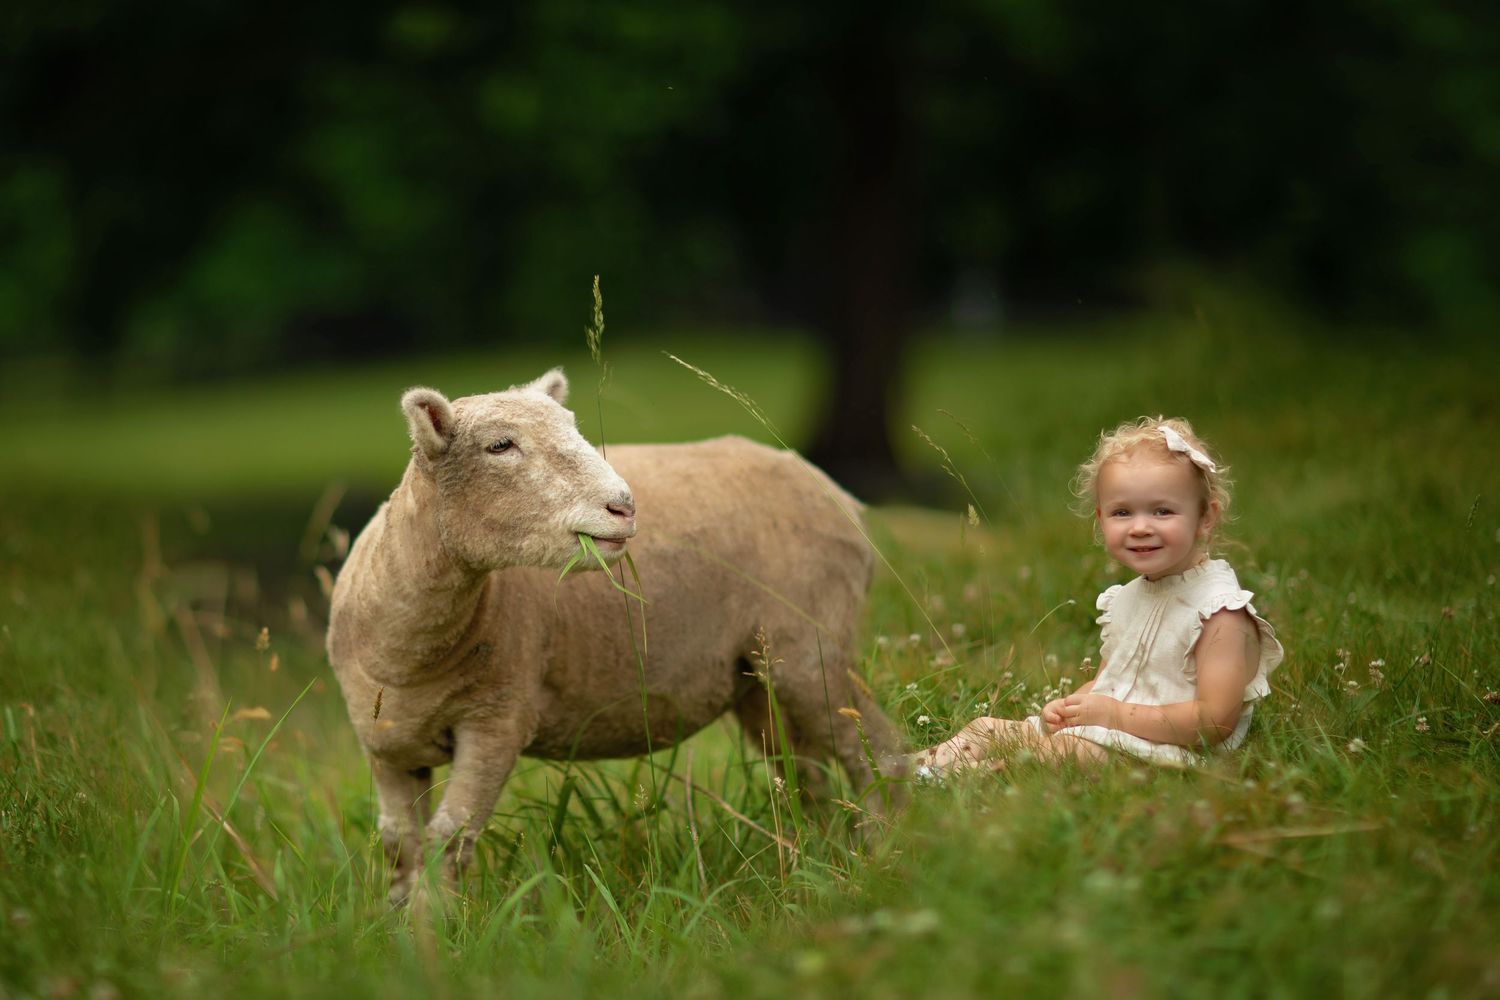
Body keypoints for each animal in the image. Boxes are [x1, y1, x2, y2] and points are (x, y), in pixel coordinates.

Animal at [326, 368, 905, 903]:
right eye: (500, 446)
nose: (624, 507)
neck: (411, 653)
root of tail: (835, 491)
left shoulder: (497, 719)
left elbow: (449, 840)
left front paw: (437, 929)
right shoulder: (385, 745)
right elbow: (400, 845)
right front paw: (403, 927)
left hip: (813, 646)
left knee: (880, 752)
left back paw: (883, 860)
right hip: (757, 677)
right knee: (805, 774)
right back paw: (819, 861)